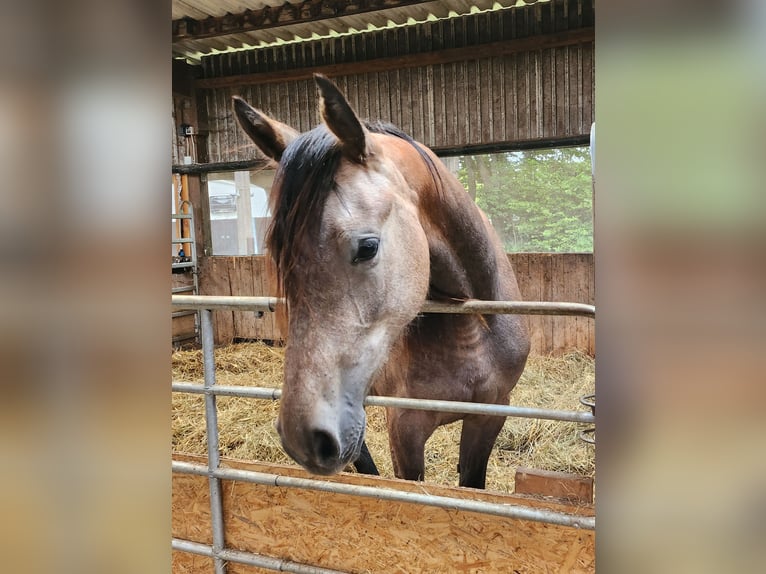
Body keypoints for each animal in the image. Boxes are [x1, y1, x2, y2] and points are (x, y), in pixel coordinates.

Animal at [234, 75, 532, 490]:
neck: (470, 328)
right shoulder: (405, 428)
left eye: (368, 247)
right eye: (280, 257)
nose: (302, 436)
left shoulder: (490, 413)